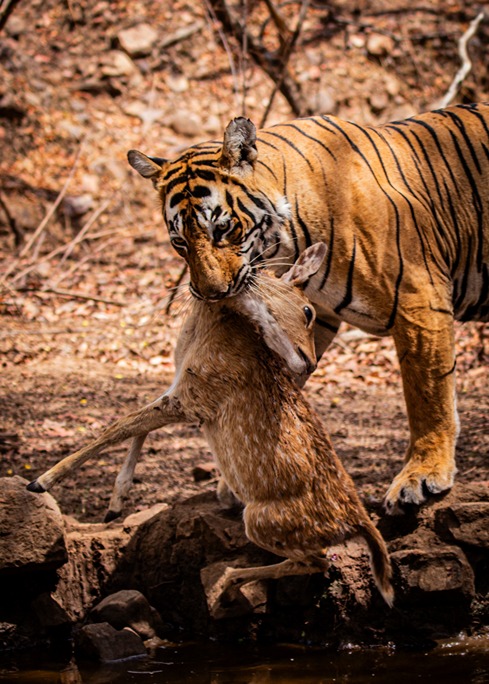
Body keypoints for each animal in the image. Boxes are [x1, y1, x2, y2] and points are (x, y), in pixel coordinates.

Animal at [127, 102, 489, 514]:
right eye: (179, 242)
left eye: (223, 229)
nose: (212, 294)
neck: (286, 240)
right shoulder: (311, 314)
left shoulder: (419, 297)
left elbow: (428, 393)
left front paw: (423, 474)